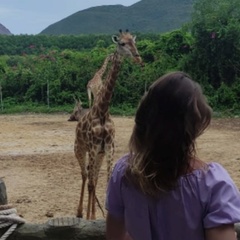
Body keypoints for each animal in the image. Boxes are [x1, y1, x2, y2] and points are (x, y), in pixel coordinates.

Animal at [74, 28, 143, 219]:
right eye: (122, 43)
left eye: (134, 42)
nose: (138, 57)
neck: (103, 112)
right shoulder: (93, 146)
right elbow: (91, 183)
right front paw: (90, 218)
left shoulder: (109, 147)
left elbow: (106, 181)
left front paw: (101, 216)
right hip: (80, 149)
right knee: (85, 176)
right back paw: (81, 213)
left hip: (99, 153)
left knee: (94, 178)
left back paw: (91, 213)